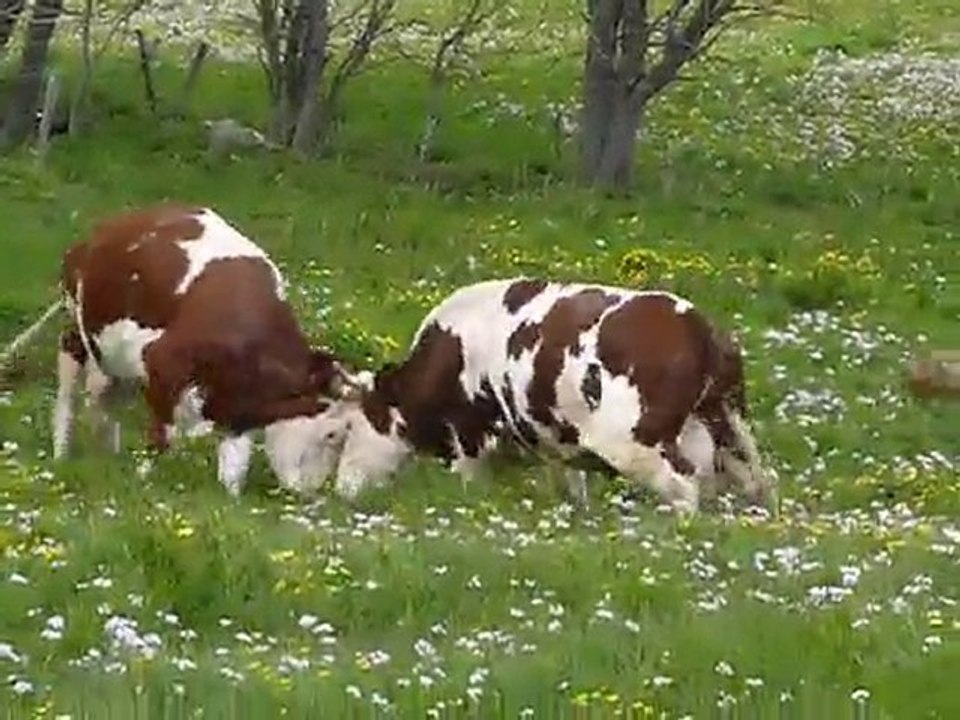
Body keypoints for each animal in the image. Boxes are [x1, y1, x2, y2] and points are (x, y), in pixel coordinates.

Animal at [45, 203, 359, 495]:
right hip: (78, 326)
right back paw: (61, 454)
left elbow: (233, 467)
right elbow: (162, 437)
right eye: (332, 434)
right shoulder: (161, 365)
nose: (309, 492)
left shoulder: (241, 408)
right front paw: (143, 481)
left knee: (104, 399)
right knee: (70, 384)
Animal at [302, 278, 775, 515]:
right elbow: (571, 485)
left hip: (634, 441)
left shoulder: (470, 434)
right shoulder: (556, 441)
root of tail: (698, 326)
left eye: (345, 431)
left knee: (684, 486)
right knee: (758, 482)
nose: (343, 489)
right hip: (729, 429)